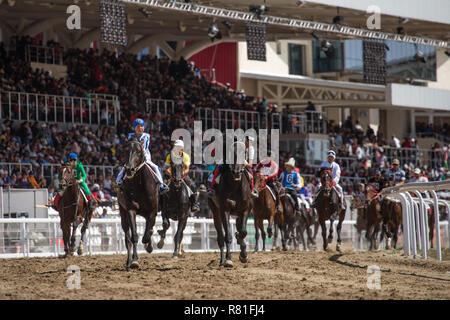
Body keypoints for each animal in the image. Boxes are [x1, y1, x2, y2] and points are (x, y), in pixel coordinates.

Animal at [117, 140, 159, 270]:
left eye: (139, 151)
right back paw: (129, 261)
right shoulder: (131, 210)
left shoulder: (152, 211)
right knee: (127, 238)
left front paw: (149, 245)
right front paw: (135, 260)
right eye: (126, 151)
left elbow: (147, 233)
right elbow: (134, 236)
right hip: (123, 212)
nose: (129, 169)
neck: (141, 186)